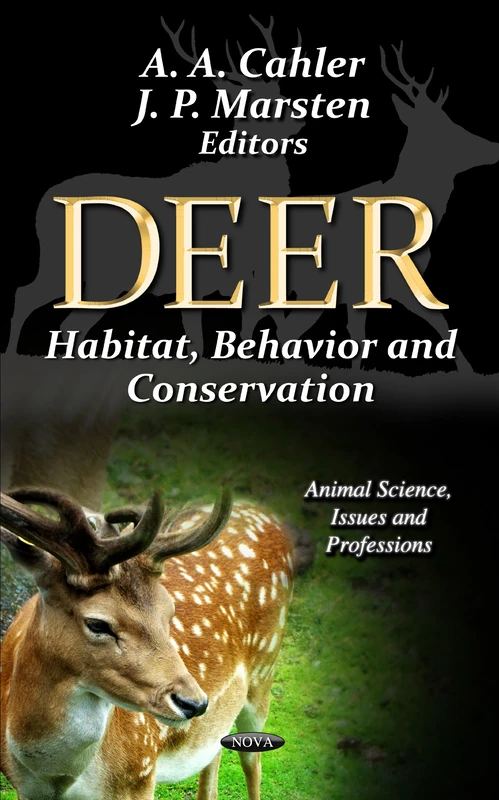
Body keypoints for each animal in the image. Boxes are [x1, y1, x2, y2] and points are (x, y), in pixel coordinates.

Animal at [0, 484, 314, 800]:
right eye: (97, 623)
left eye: (169, 610)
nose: (194, 703)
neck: (54, 776)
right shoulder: (25, 789)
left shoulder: (139, 775)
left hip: (265, 670)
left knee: (253, 762)